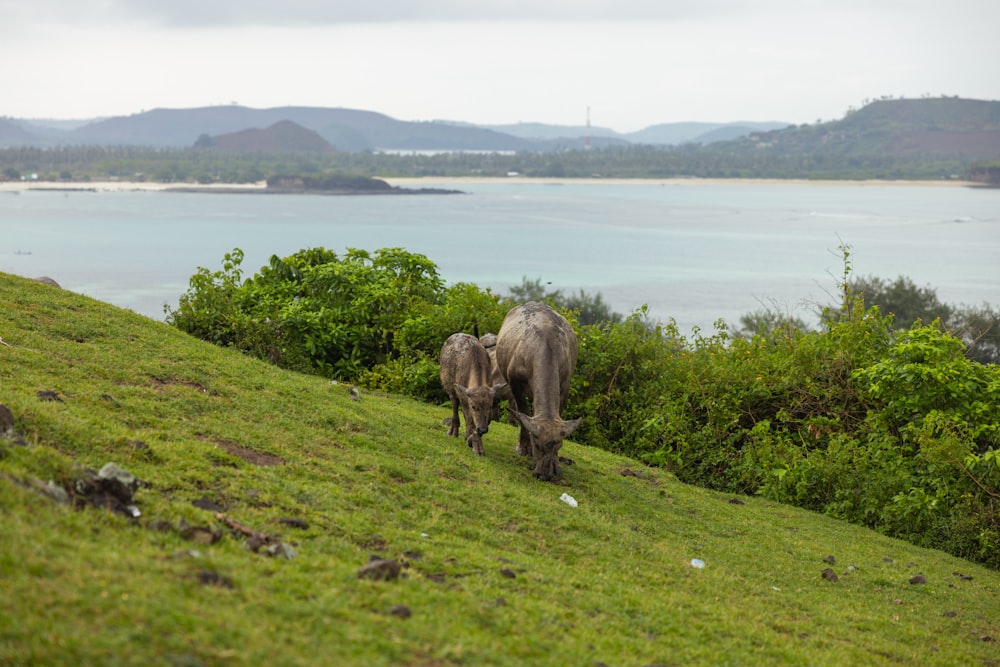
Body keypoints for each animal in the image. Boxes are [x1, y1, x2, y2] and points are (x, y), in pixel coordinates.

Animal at [496, 302, 584, 480]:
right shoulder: (515, 384)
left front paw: (557, 465)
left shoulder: (564, 386)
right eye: (537, 445)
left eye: (559, 446)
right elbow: (522, 411)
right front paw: (524, 447)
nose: (543, 475)